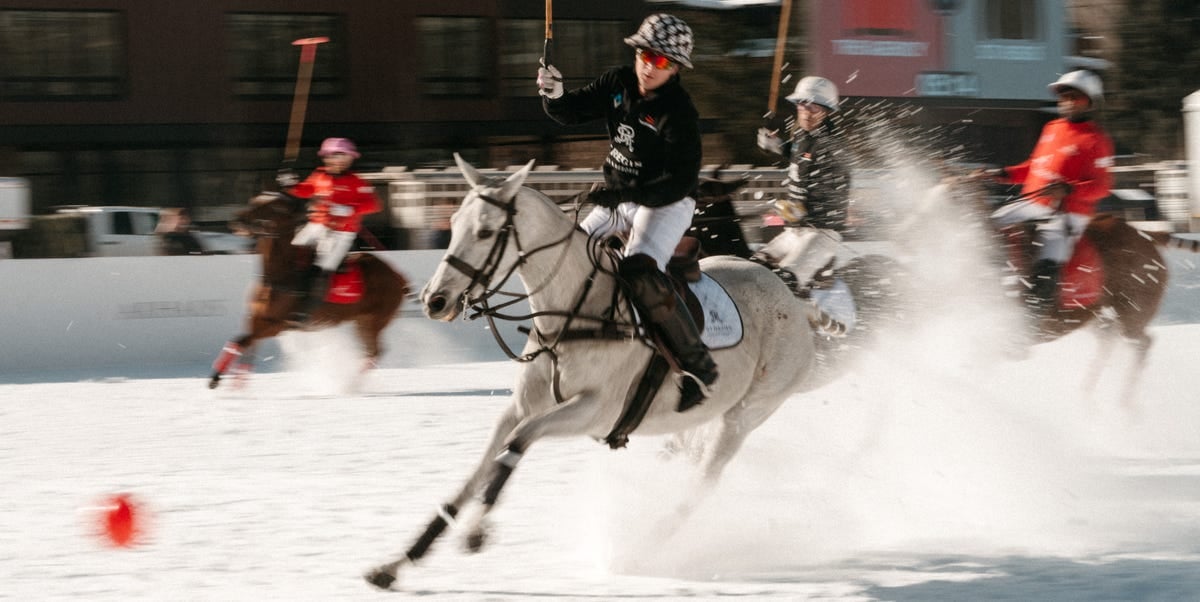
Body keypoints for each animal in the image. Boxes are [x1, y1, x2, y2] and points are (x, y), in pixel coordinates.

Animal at [208, 193, 410, 390]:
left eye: (275, 207)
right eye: (254, 200)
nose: (238, 219)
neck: (281, 274)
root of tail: (397, 276)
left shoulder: (278, 324)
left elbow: (242, 341)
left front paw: (216, 379)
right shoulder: (256, 317)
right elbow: (244, 343)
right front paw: (234, 384)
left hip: (376, 320)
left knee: (374, 351)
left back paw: (350, 384)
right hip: (362, 320)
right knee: (370, 351)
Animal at [364, 153, 830, 587]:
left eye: (484, 231)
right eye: (453, 222)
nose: (434, 300)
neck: (572, 312)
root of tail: (794, 300)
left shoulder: (595, 411)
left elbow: (517, 444)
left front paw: (476, 532)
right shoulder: (521, 407)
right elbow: (475, 473)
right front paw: (398, 562)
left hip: (747, 413)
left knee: (703, 479)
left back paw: (640, 550)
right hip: (705, 416)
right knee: (688, 460)